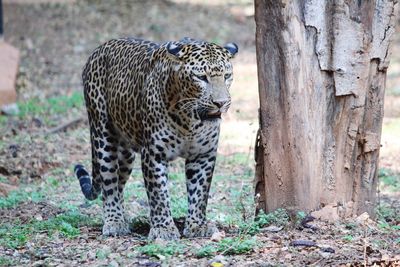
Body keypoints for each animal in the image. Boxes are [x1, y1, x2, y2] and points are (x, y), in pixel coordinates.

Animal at [74, 36, 238, 241]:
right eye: (201, 77)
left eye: (227, 76)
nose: (221, 103)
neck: (190, 121)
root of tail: (100, 48)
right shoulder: (154, 153)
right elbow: (158, 193)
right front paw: (163, 229)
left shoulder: (203, 154)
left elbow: (199, 192)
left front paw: (197, 226)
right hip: (102, 134)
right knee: (109, 183)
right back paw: (114, 222)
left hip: (126, 153)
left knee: (117, 184)